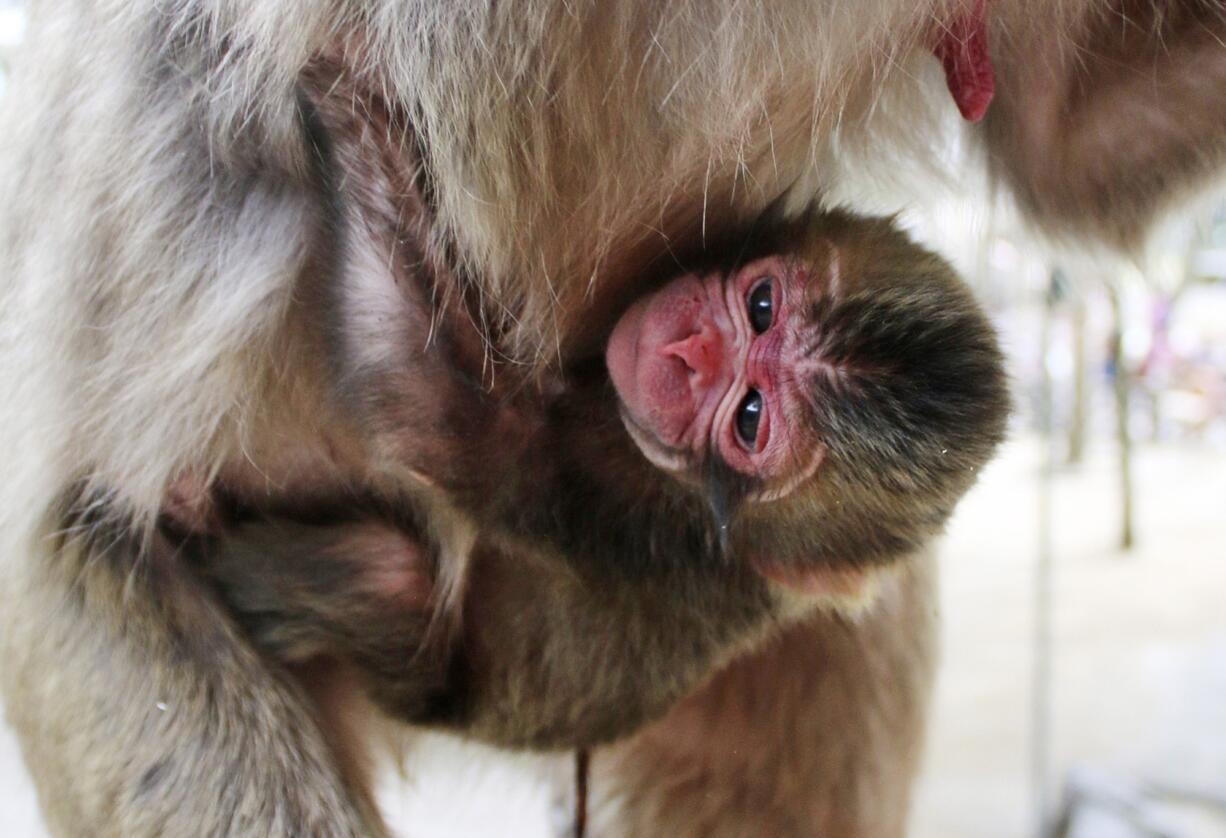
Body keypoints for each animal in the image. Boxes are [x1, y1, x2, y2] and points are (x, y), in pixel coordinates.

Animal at [188, 208, 1005, 744]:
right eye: (762, 304)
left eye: (748, 417)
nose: (688, 351)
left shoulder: (634, 511)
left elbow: (437, 416)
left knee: (395, 577)